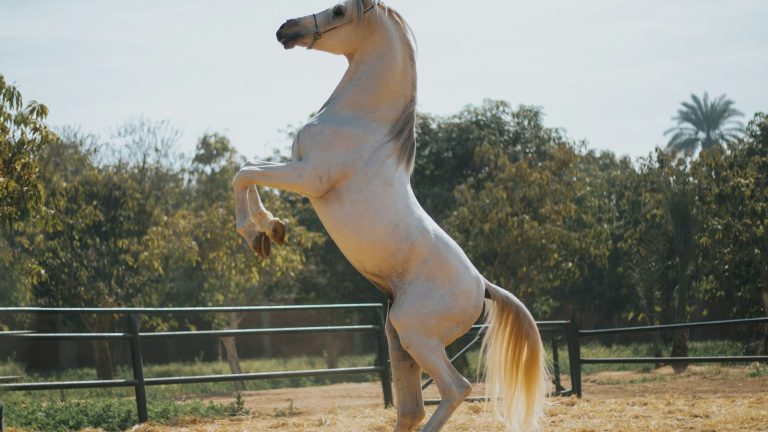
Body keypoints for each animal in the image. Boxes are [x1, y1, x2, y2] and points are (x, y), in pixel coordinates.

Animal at [232, 1, 548, 430]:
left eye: (338, 11)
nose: (286, 29)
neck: (361, 120)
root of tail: (482, 286)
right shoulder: (297, 169)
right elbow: (247, 169)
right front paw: (269, 232)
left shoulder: (309, 177)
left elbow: (243, 173)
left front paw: (260, 233)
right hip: (397, 339)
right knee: (411, 408)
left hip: (416, 335)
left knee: (456, 389)